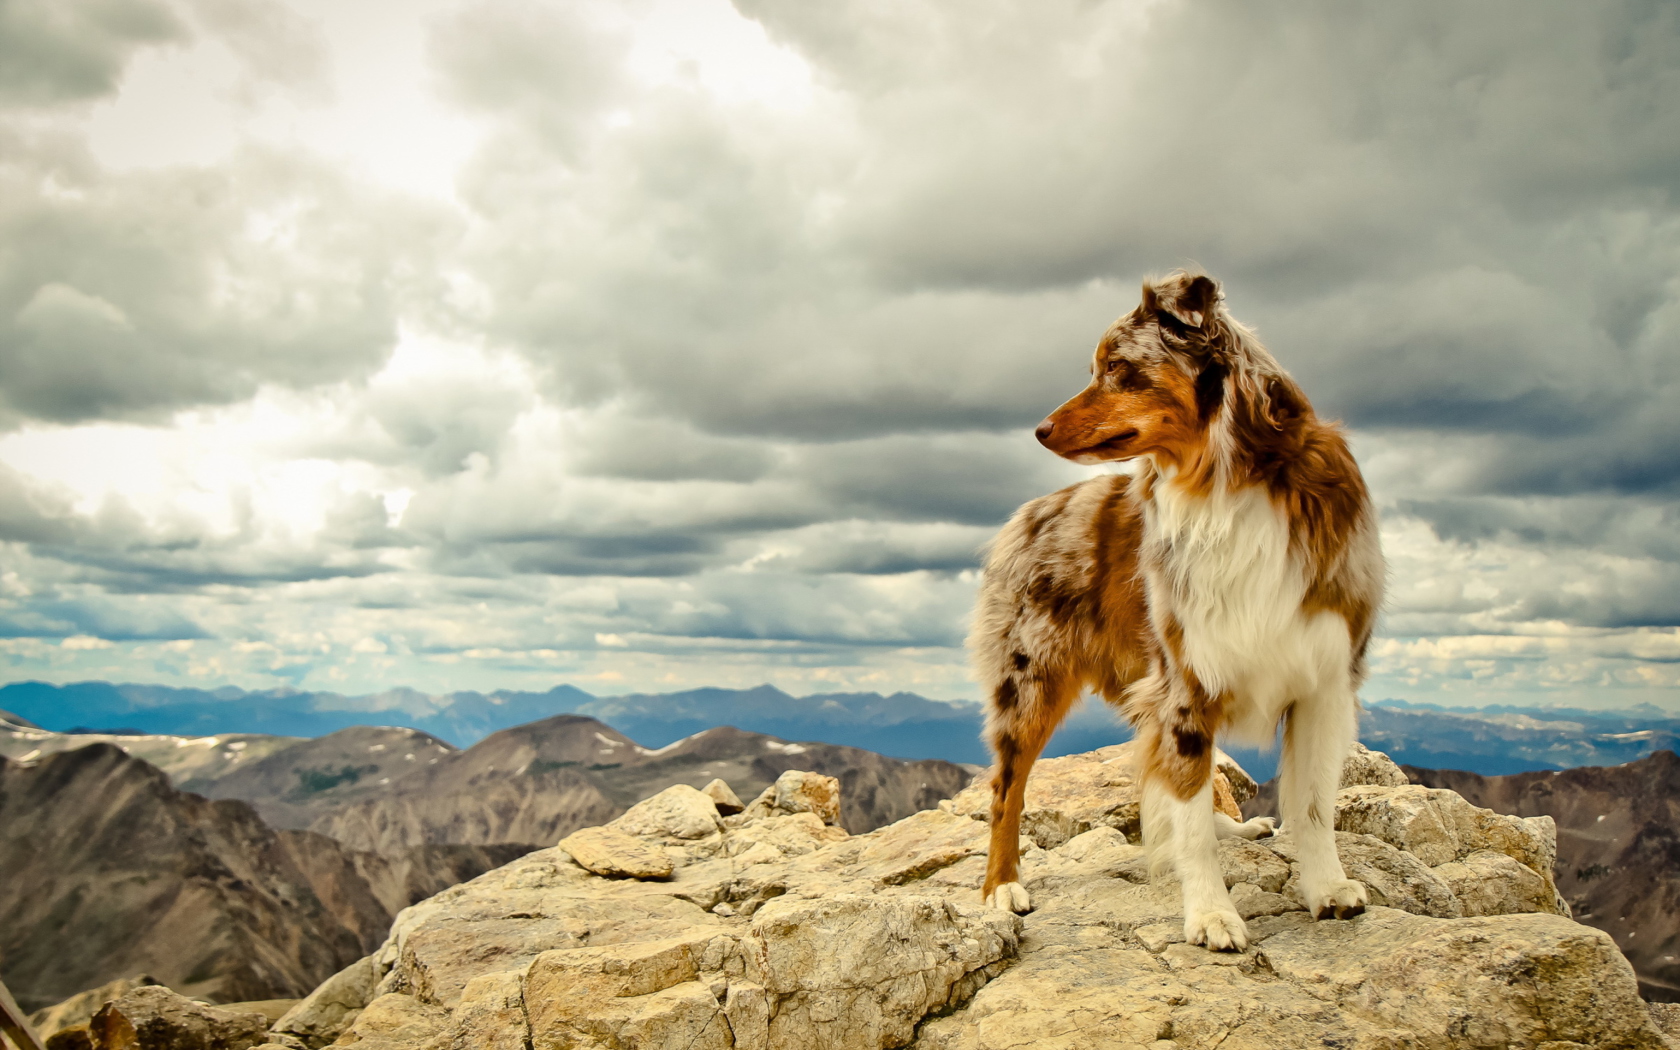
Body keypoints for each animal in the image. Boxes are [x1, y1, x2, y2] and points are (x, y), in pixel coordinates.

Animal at [974, 270, 1377, 947]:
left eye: (1116, 366)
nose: (1039, 429)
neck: (1227, 484)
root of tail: (1028, 513)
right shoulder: (1185, 682)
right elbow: (1187, 816)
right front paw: (1212, 915)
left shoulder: (1323, 678)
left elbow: (1314, 803)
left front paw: (1327, 889)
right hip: (1030, 681)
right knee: (1008, 789)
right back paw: (1000, 887)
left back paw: (1235, 827)